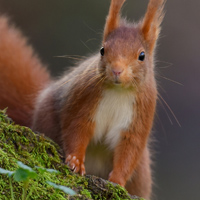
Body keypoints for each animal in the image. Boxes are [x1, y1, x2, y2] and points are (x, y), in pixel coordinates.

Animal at [0, 0, 166, 198]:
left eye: (142, 56)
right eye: (102, 50)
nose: (116, 70)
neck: (119, 92)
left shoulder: (139, 117)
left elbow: (129, 151)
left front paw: (117, 181)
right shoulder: (84, 99)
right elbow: (76, 129)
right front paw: (75, 161)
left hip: (142, 172)